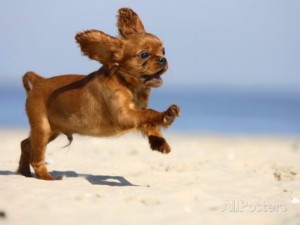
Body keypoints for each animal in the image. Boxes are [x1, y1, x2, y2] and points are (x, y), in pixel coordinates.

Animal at [18, 7, 180, 180]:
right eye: (144, 54)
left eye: (164, 51)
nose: (163, 59)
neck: (130, 85)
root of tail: (39, 80)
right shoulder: (124, 116)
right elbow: (149, 114)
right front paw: (166, 115)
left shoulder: (136, 112)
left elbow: (148, 121)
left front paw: (159, 141)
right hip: (43, 128)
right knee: (36, 159)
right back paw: (48, 178)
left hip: (53, 130)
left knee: (26, 143)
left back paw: (24, 172)